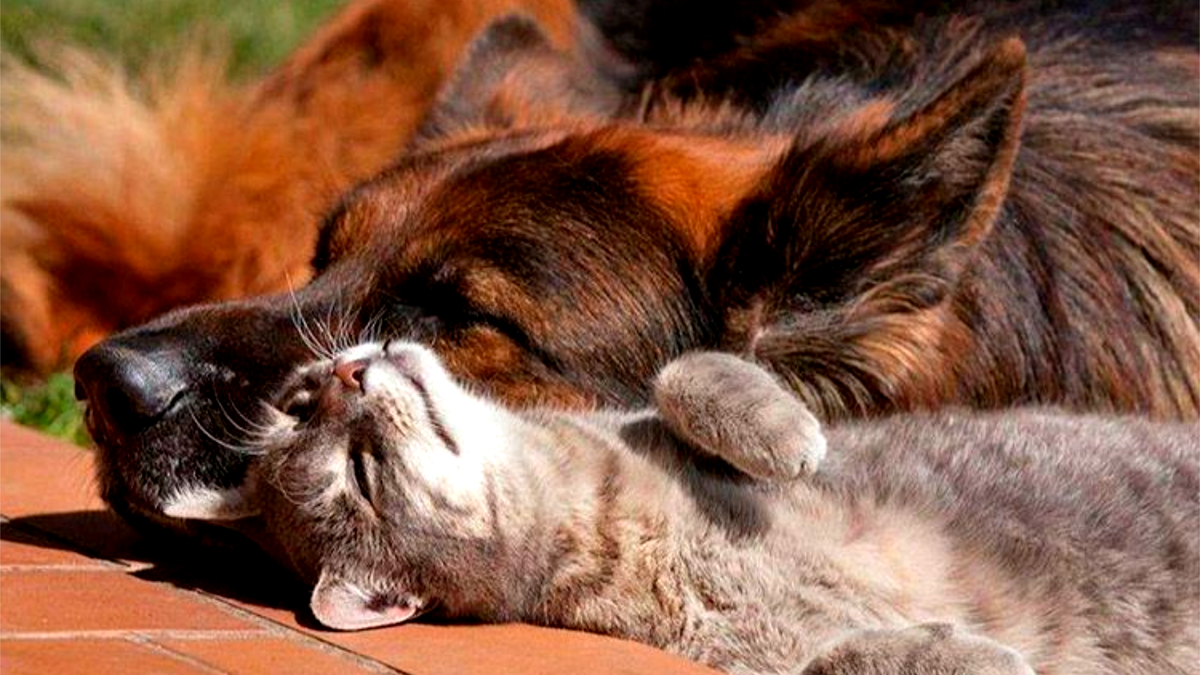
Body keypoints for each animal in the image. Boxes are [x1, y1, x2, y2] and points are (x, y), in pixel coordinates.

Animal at [249, 342, 1198, 674]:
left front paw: (786, 434)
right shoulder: (747, 657)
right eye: (360, 472)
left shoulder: (644, 408)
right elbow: (837, 658)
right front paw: (966, 654)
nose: (346, 371)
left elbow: (684, 370)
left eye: (300, 397)